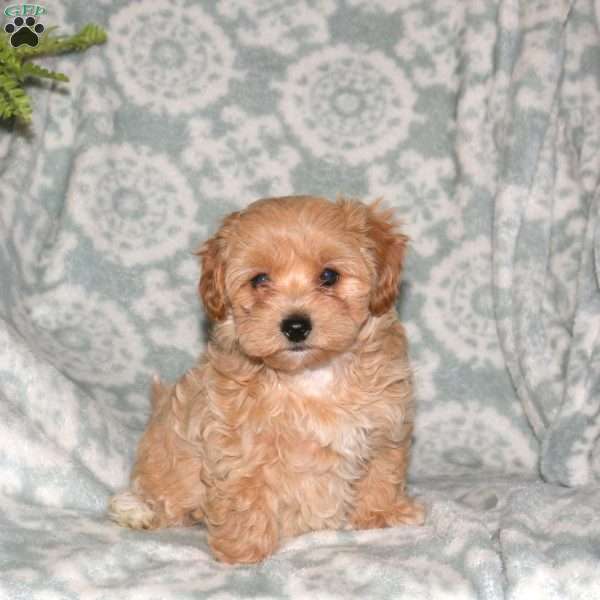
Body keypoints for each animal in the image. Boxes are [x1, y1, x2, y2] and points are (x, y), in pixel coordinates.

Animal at [110, 196, 424, 564]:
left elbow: (382, 471)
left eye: (329, 276)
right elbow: (245, 493)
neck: (310, 375)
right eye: (260, 279)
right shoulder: (239, 445)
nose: (296, 326)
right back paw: (137, 509)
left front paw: (382, 515)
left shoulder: (385, 426)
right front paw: (244, 549)